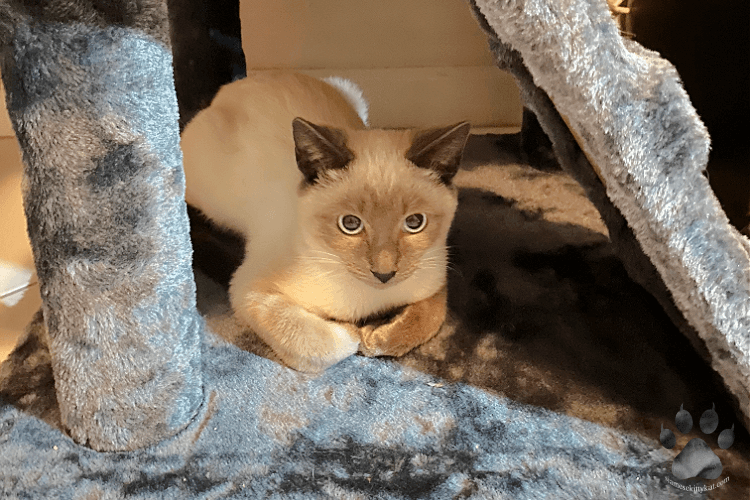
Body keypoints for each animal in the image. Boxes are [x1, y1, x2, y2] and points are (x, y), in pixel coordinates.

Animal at [181, 72, 470, 374]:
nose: (384, 274)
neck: (372, 298)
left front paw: (378, 337)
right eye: (350, 224)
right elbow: (320, 346)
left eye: (414, 222)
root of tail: (234, 86)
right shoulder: (249, 290)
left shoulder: (434, 275)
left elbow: (431, 316)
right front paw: (354, 331)